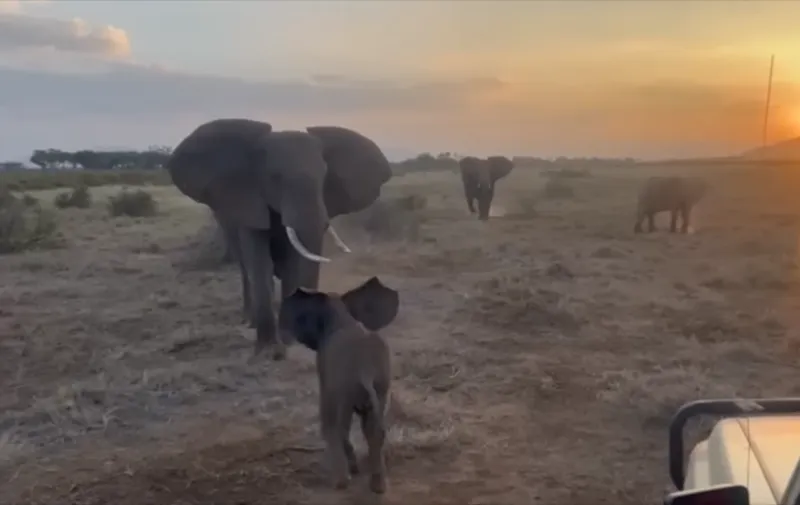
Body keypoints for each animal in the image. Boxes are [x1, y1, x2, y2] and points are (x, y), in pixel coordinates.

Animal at [167, 119, 393, 359]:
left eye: (325, 176)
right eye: (275, 177)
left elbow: (292, 266)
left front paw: (289, 341)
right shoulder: (250, 202)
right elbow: (260, 264)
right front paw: (269, 350)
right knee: (245, 267)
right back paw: (249, 320)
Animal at [278, 276, 399, 494]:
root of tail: (364, 370)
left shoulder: (324, 366)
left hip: (344, 386)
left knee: (338, 425)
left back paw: (342, 482)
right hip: (380, 382)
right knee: (374, 428)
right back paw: (378, 487)